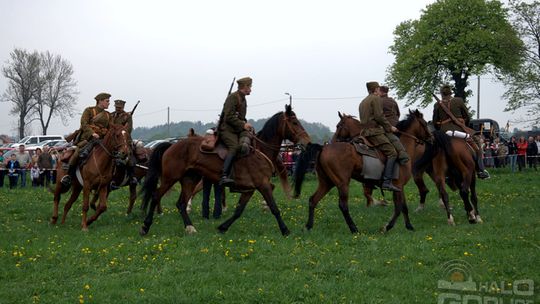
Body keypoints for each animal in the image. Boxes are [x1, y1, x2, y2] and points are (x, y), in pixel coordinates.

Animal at [139, 105, 312, 236]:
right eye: (294, 122)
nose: (308, 142)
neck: (261, 150)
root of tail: (171, 145)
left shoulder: (250, 189)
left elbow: (238, 211)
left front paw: (223, 227)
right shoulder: (263, 185)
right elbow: (274, 208)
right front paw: (285, 230)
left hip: (190, 179)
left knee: (181, 203)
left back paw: (190, 228)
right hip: (170, 178)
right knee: (156, 196)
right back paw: (145, 227)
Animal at [294, 109, 432, 233]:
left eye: (339, 126)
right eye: (425, 124)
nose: (431, 138)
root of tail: (324, 148)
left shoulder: (399, 187)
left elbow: (403, 207)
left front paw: (409, 226)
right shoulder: (398, 186)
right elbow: (398, 208)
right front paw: (387, 227)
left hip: (327, 183)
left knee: (313, 200)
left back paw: (308, 227)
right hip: (342, 183)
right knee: (343, 205)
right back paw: (354, 229)